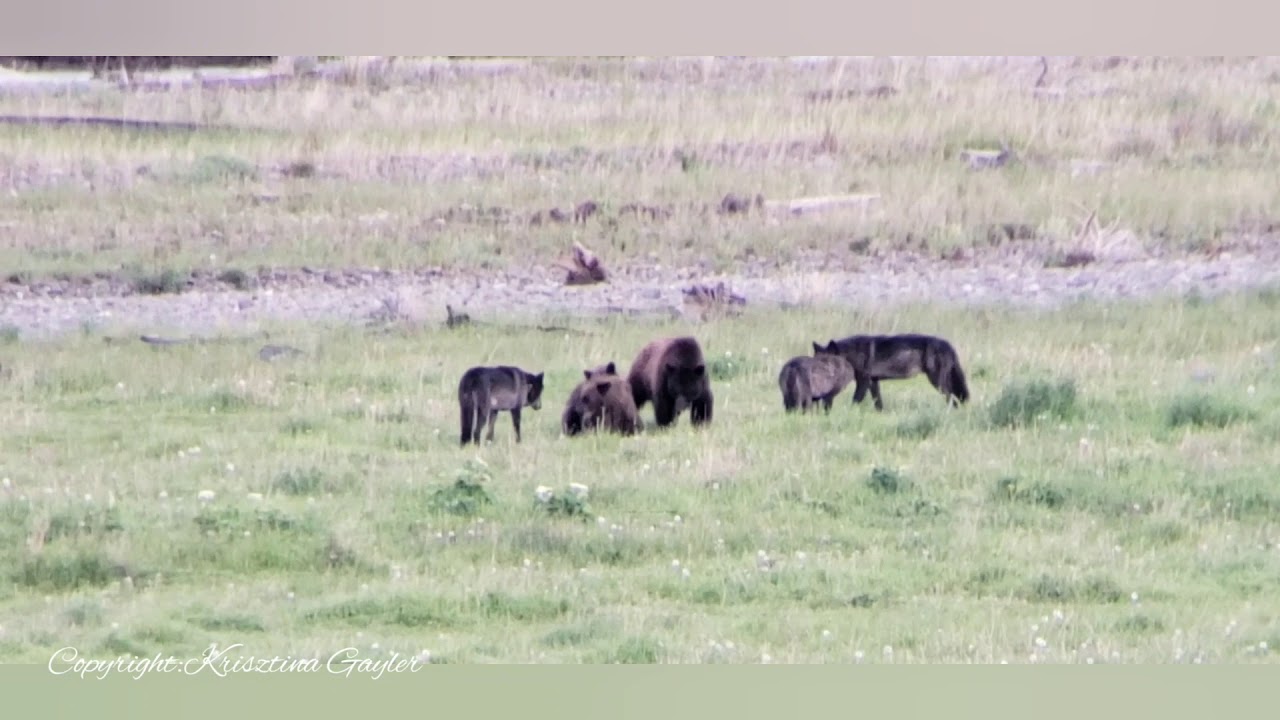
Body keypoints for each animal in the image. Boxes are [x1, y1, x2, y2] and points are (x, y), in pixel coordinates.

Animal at [819, 333, 967, 409]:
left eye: (824, 363)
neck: (853, 353)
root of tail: (949, 345)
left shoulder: (863, 381)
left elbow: (855, 400)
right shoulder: (873, 381)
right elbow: (878, 402)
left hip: (937, 382)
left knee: (952, 398)